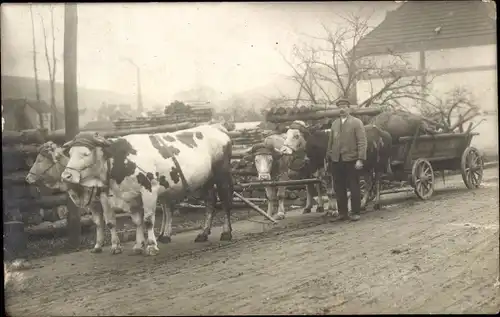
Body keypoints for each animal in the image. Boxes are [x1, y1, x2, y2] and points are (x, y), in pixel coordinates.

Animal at [60, 123, 234, 254]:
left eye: (85, 153)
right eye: (70, 153)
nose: (66, 176)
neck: (120, 159)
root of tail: (216, 127)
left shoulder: (148, 190)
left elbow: (148, 220)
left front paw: (151, 245)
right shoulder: (122, 196)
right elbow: (129, 222)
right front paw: (135, 246)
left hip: (222, 175)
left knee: (225, 201)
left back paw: (226, 232)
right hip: (205, 180)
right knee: (210, 202)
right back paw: (203, 233)